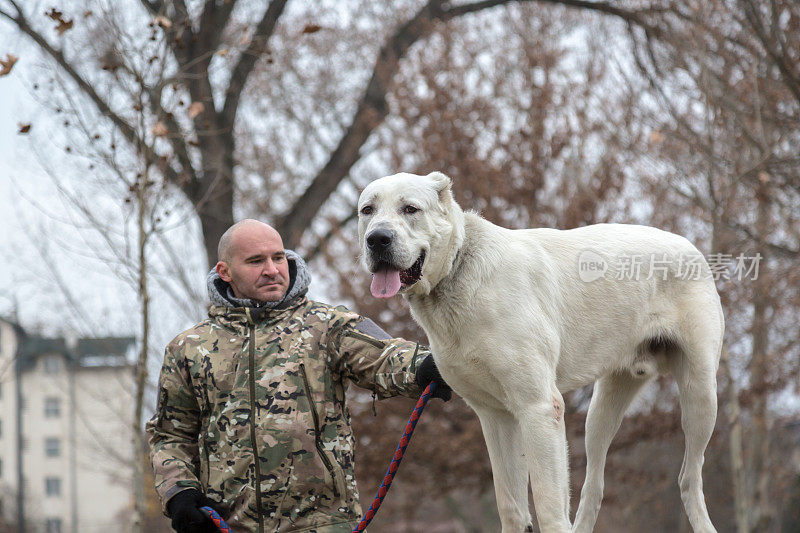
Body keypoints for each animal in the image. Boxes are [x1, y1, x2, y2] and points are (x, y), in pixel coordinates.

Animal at [360, 171, 720, 532]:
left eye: (410, 208)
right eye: (367, 210)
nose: (377, 239)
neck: (458, 269)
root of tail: (688, 244)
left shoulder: (539, 408)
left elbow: (548, 507)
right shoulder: (495, 416)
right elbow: (511, 507)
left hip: (700, 394)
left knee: (690, 478)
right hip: (600, 412)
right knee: (594, 486)